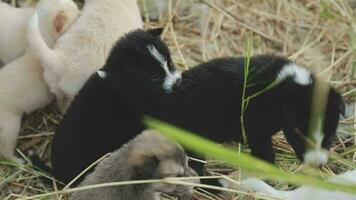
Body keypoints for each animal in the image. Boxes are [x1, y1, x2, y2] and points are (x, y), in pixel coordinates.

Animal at [48, 28, 344, 187]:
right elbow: (264, 153)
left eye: (330, 135)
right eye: (301, 133)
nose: (319, 164)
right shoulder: (255, 123)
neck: (283, 85)